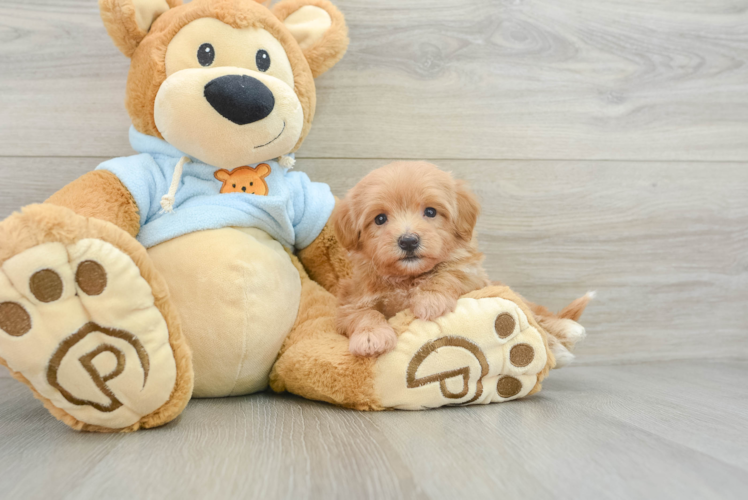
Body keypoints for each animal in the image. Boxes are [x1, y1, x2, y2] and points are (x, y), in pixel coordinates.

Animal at [332, 162, 486, 358]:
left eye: (430, 211)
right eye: (380, 218)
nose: (408, 241)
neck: (406, 278)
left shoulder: (475, 276)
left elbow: (449, 271)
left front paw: (430, 299)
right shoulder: (351, 299)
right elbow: (361, 312)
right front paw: (371, 334)